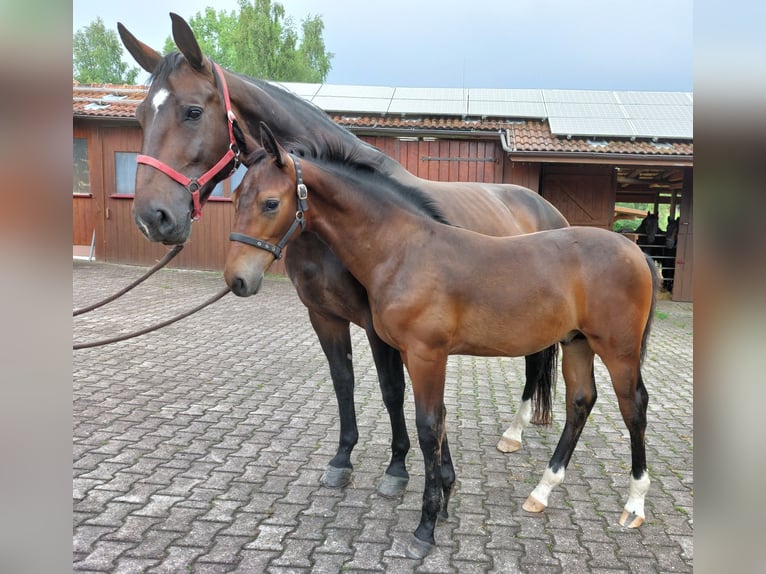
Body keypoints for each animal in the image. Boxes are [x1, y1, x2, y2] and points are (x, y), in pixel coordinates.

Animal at [117, 13, 570, 497]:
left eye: (193, 111)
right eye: (140, 116)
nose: (153, 217)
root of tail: (545, 206)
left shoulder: (380, 326)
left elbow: (393, 390)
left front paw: (399, 468)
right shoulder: (324, 315)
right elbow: (344, 383)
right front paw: (343, 458)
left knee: (535, 365)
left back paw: (514, 433)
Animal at [224, 123, 659, 558]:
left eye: (270, 203)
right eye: (234, 195)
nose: (238, 280)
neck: (403, 250)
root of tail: (636, 252)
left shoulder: (426, 354)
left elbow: (428, 426)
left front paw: (426, 526)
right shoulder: (411, 353)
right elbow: (439, 418)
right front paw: (446, 496)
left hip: (618, 349)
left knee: (634, 406)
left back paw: (635, 503)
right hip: (576, 343)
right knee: (580, 401)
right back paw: (542, 490)